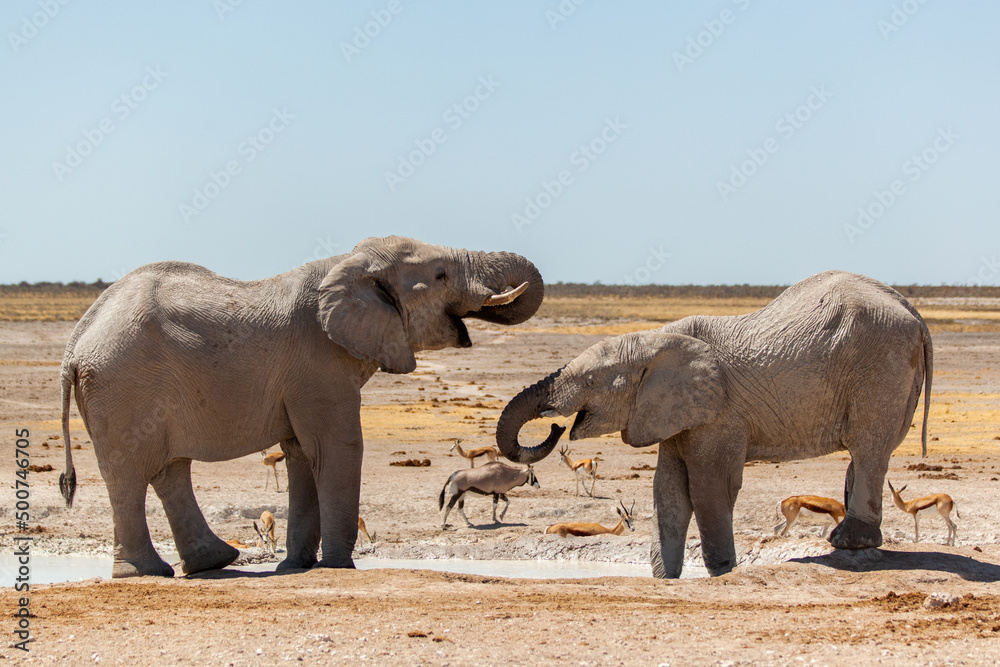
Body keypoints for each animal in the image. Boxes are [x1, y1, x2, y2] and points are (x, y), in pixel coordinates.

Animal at [58, 236, 543, 578]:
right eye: (441, 274)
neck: (350, 263)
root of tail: (76, 342)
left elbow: (300, 454)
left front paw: (297, 567)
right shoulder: (318, 364)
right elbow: (336, 448)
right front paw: (338, 566)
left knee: (168, 471)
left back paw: (213, 563)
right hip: (123, 388)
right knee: (130, 475)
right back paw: (144, 572)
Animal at [495, 271, 932, 578]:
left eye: (589, 381)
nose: (554, 427)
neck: (655, 340)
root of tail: (913, 311)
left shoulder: (720, 413)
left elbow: (708, 485)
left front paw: (721, 572)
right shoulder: (673, 411)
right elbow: (668, 489)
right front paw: (665, 579)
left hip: (881, 365)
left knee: (869, 447)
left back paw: (848, 543)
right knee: (865, 455)